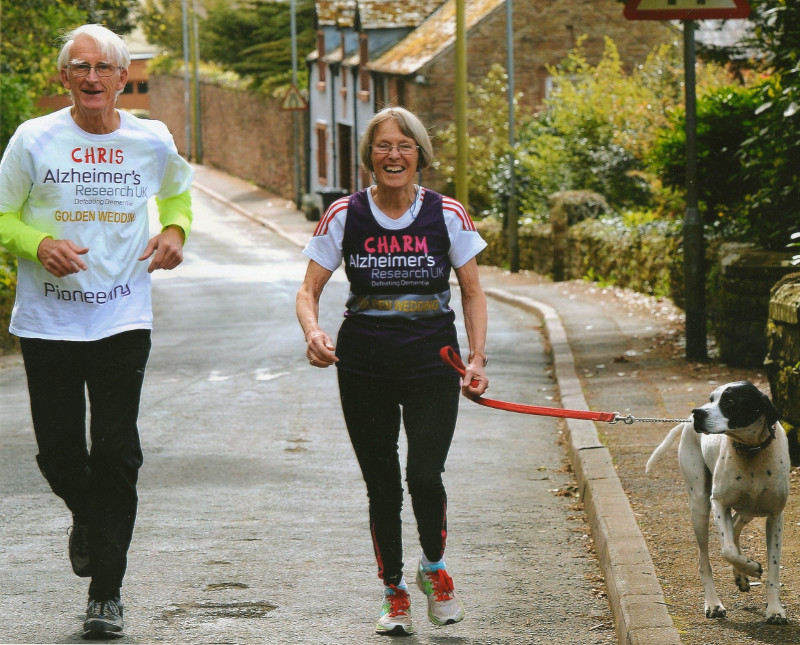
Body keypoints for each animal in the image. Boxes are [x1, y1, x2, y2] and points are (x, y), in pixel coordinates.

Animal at [648, 380, 792, 620]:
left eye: (730, 400)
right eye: (711, 399)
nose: (697, 413)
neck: (750, 451)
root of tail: (686, 423)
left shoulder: (775, 516)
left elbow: (773, 569)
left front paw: (775, 610)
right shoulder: (719, 503)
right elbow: (728, 550)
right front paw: (752, 568)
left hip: (748, 509)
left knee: (735, 526)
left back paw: (740, 575)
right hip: (700, 505)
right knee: (705, 560)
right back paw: (714, 603)